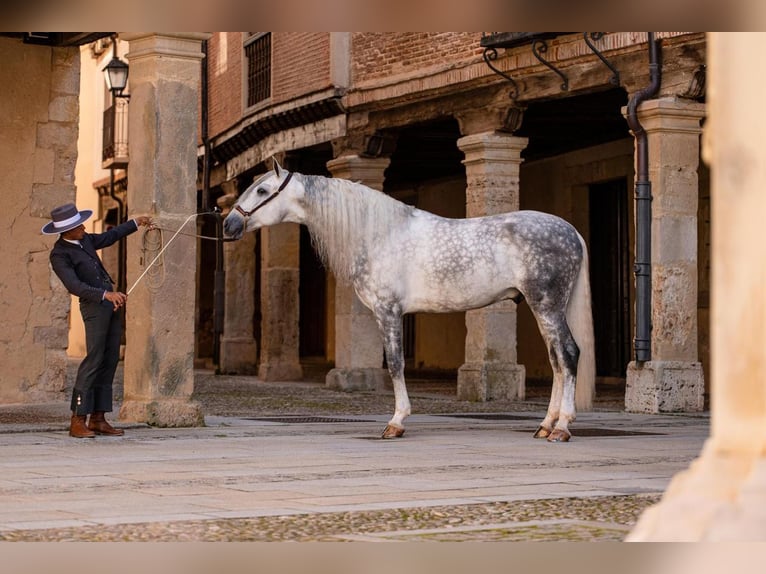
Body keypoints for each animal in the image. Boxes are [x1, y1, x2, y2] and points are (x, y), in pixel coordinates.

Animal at [223, 159, 595, 442]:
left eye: (261, 191)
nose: (228, 224)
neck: (378, 233)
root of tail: (572, 232)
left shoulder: (389, 312)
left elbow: (396, 364)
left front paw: (397, 422)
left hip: (547, 306)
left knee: (568, 355)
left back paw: (561, 428)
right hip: (544, 308)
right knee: (556, 360)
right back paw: (545, 425)